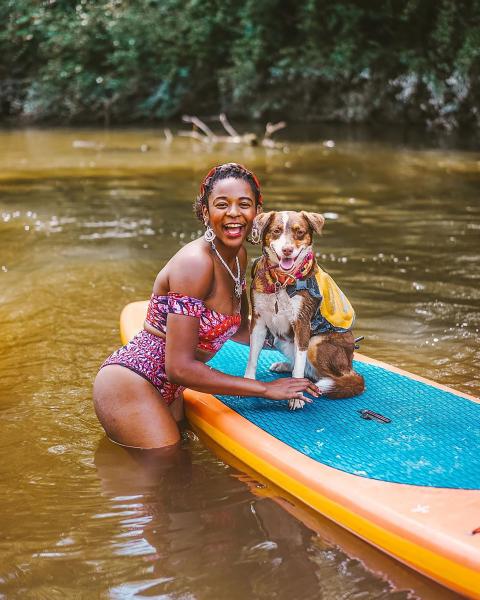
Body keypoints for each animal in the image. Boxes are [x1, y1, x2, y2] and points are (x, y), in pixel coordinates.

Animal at [246, 209, 366, 410]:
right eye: (277, 231)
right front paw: (248, 383)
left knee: (335, 378)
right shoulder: (258, 321)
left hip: (316, 344)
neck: (282, 281)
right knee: (308, 371)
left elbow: (300, 366)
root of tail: (350, 366)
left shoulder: (301, 323)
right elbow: (252, 358)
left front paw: (296, 397)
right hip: (279, 339)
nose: (287, 250)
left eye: (300, 232)